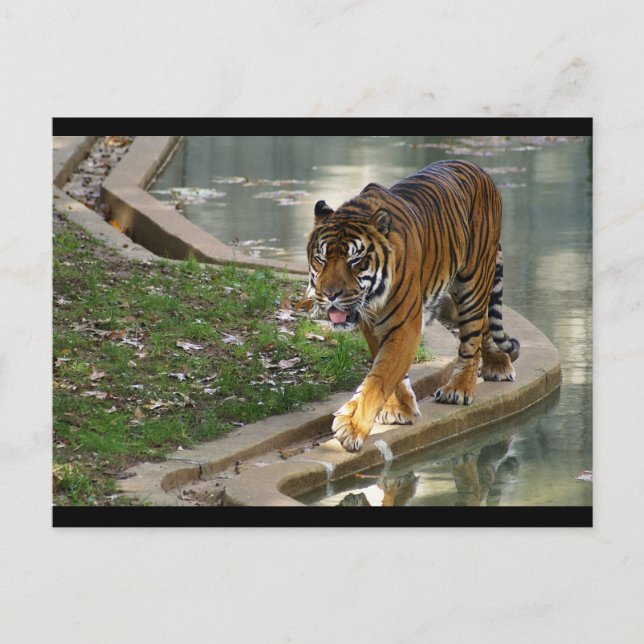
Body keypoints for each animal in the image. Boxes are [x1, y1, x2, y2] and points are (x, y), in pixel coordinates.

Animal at [306, 160, 520, 452]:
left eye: (355, 261)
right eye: (321, 258)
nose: (329, 294)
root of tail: (478, 168)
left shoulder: (404, 324)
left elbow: (381, 376)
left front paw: (351, 426)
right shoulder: (373, 323)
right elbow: (388, 369)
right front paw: (400, 409)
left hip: (473, 280)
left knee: (471, 336)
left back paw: (459, 388)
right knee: (484, 324)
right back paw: (497, 364)